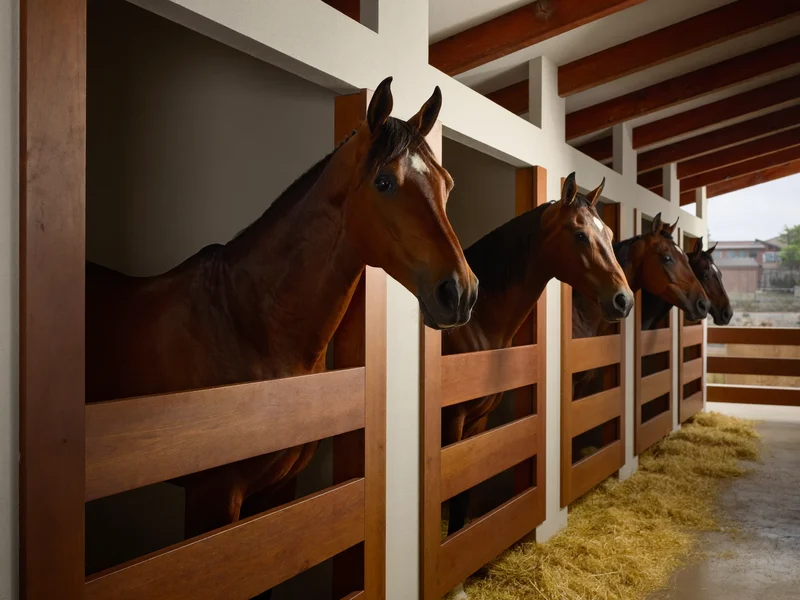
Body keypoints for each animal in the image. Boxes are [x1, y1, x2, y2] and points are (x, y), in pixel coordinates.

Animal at [86, 77, 479, 558]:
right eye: (384, 181)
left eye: (448, 184)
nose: (461, 292)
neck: (247, 323)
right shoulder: (213, 499)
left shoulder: (279, 493)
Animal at [440, 173, 633, 550]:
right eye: (580, 234)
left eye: (610, 235)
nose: (624, 299)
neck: (475, 323)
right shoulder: (451, 422)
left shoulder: (477, 422)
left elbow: (463, 495)